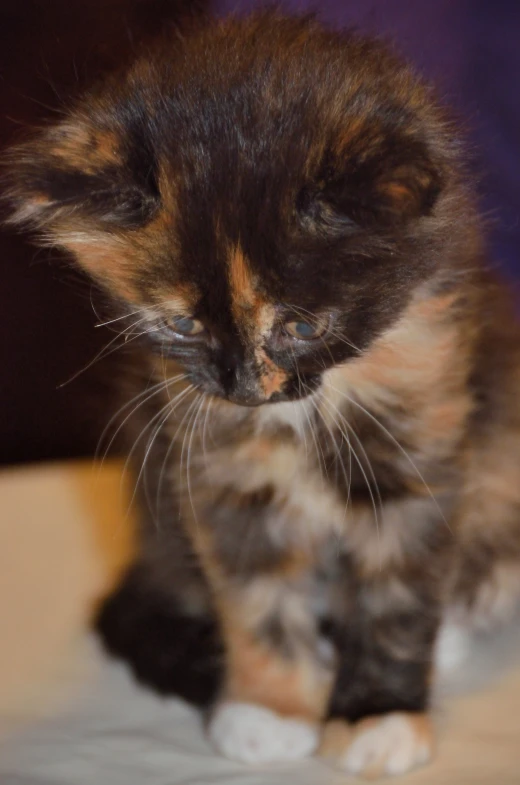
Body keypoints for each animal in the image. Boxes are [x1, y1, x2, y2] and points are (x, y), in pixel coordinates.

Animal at [6, 9, 520, 776]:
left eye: (302, 325)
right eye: (183, 324)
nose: (245, 387)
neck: (309, 411)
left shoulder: (424, 441)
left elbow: (399, 592)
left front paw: (378, 714)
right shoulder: (219, 473)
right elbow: (254, 595)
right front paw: (271, 709)